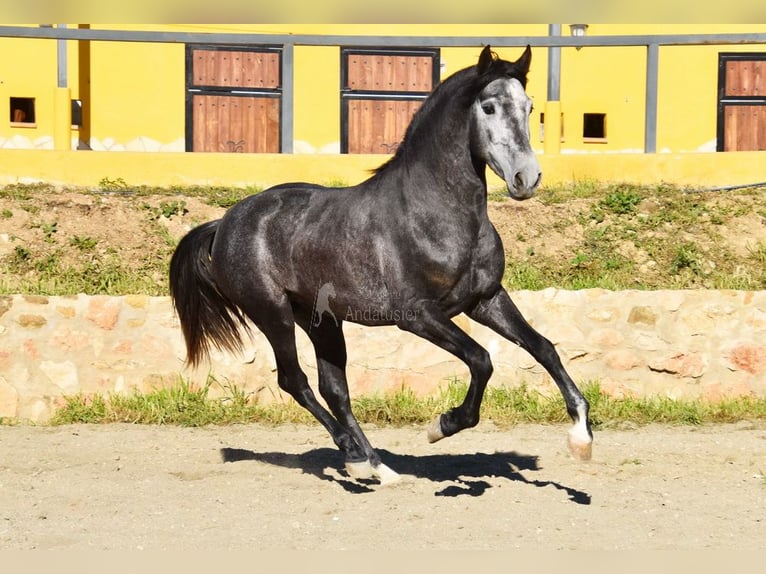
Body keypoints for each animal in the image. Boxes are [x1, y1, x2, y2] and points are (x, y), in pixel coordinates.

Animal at [172, 46, 592, 486]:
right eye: (489, 106)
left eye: (529, 107)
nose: (527, 178)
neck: (434, 214)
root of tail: (224, 223)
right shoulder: (417, 315)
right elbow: (481, 359)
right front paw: (441, 425)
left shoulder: (486, 299)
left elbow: (543, 348)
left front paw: (581, 437)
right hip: (273, 314)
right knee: (296, 382)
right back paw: (356, 456)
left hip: (320, 320)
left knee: (334, 388)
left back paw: (376, 466)